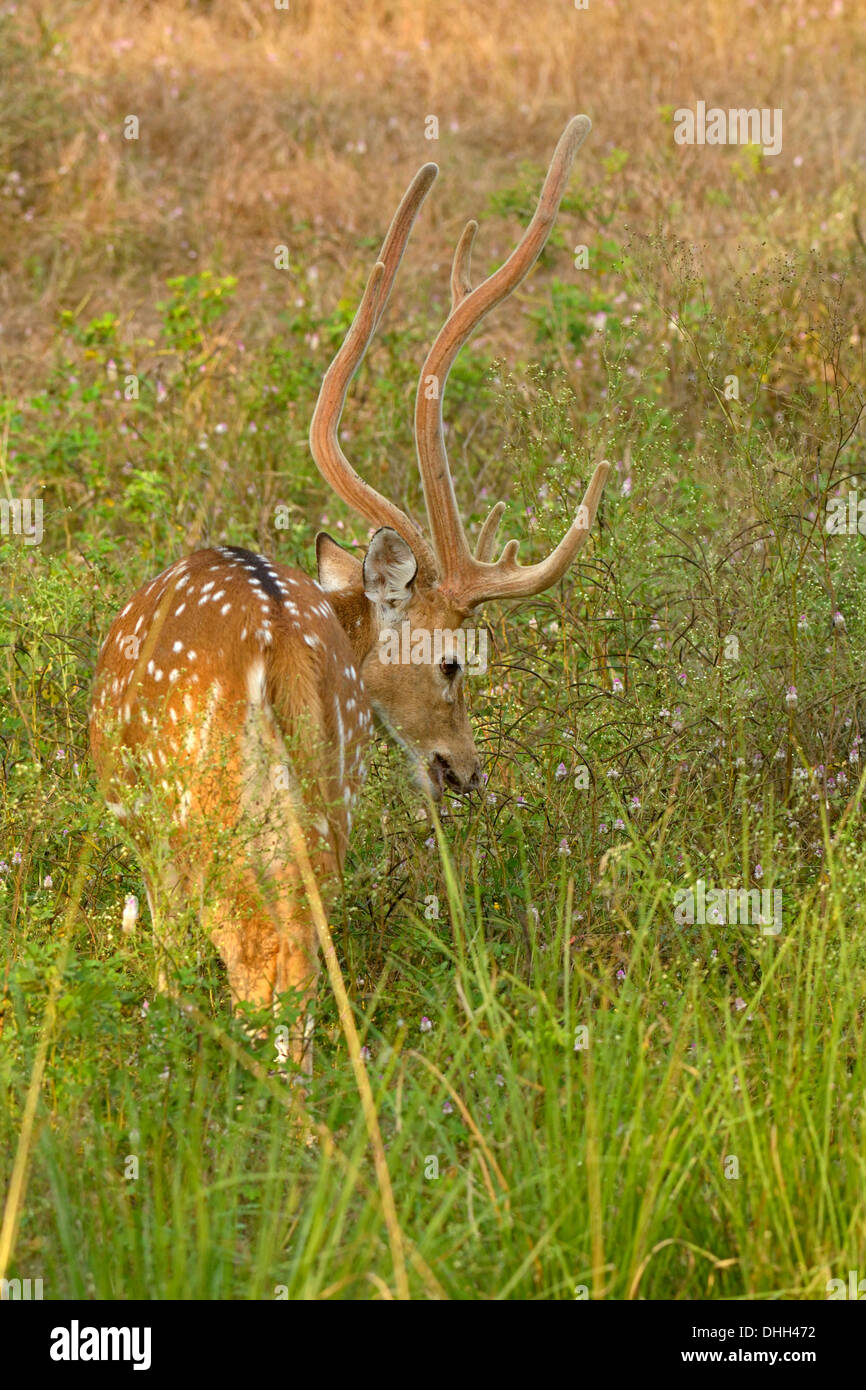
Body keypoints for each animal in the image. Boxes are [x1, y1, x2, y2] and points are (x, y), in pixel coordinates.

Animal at [89, 116, 608, 1073]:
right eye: (452, 664)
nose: (466, 771)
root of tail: (273, 637)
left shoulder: (145, 837)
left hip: (205, 806)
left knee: (261, 955)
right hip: (331, 789)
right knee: (305, 946)